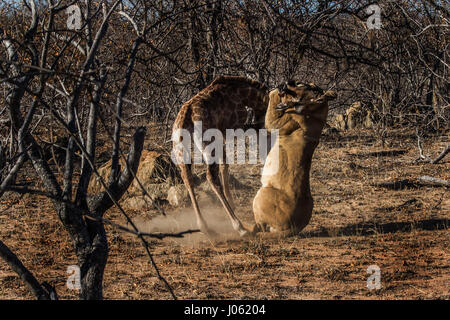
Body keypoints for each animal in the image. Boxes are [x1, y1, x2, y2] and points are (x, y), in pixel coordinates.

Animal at [172, 75, 268, 238]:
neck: (244, 95)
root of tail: (186, 116)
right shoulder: (232, 127)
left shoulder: (221, 134)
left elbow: (225, 164)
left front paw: (232, 202)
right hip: (207, 143)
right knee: (211, 177)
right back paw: (239, 227)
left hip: (180, 147)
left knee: (187, 176)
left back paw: (205, 227)